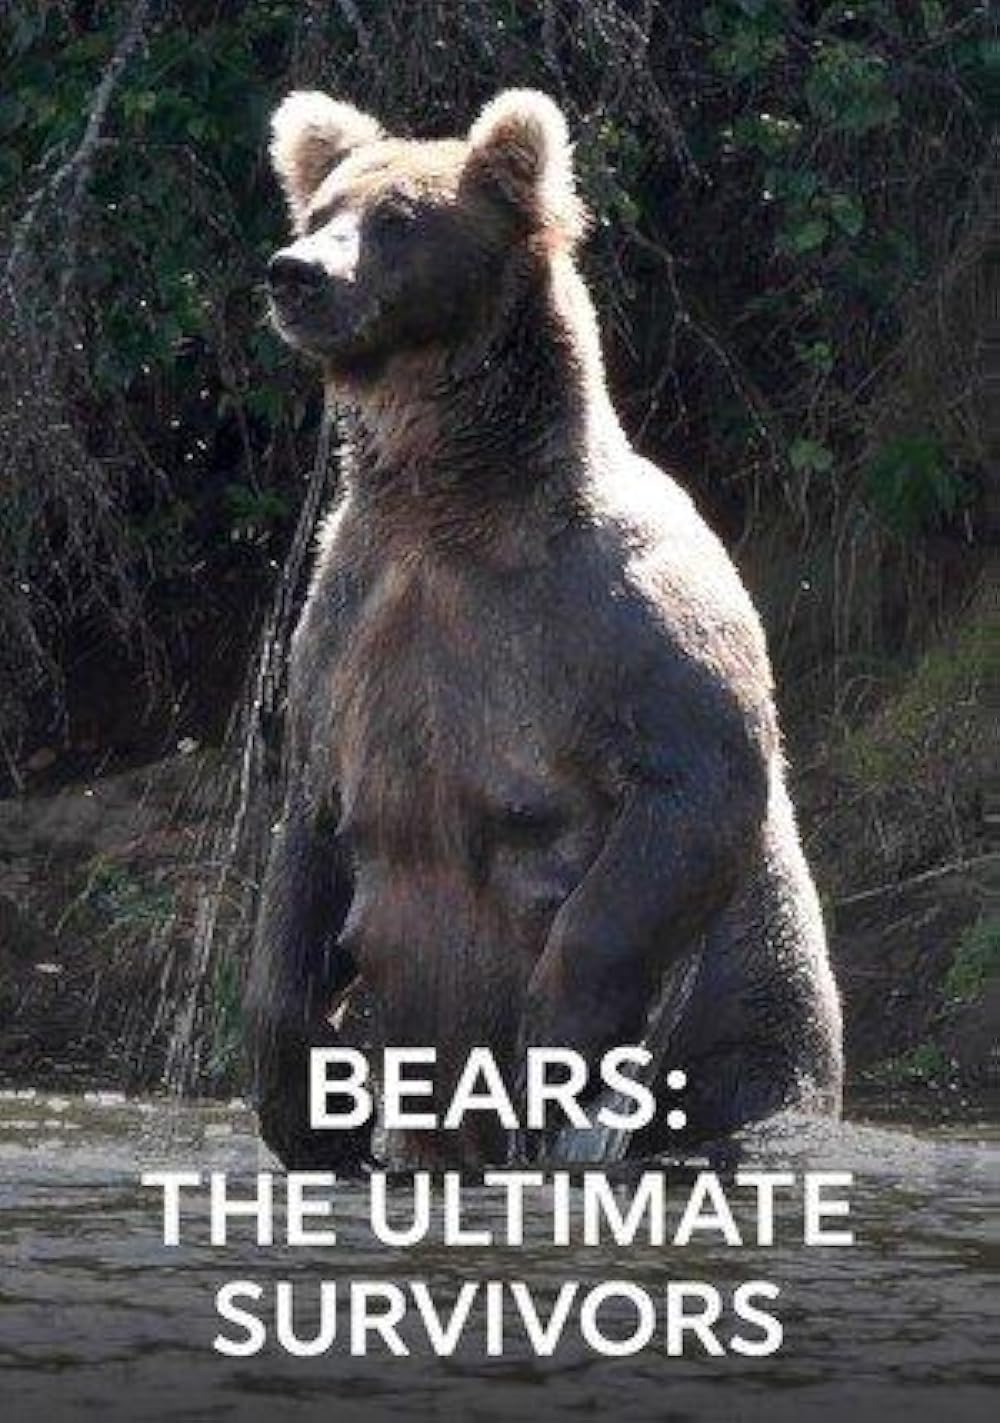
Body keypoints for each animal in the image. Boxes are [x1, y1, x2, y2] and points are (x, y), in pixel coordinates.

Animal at [246, 87, 843, 1170]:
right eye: (319, 210)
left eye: (400, 219)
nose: (296, 273)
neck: (454, 500)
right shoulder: (350, 623)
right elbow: (309, 826)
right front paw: (306, 1099)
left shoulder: (614, 604)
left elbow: (697, 782)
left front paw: (552, 1051)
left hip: (752, 1032)